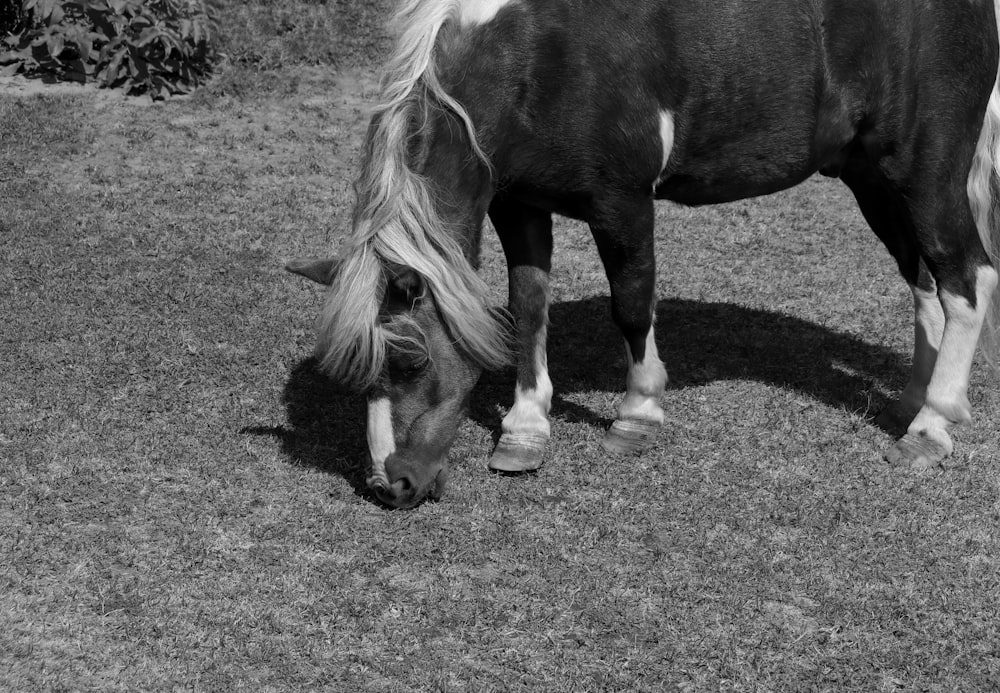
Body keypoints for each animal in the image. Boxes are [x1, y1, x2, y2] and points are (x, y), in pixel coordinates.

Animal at [286, 0, 1000, 508]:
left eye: (409, 361)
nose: (391, 487)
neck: (532, 56)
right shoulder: (518, 203)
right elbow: (528, 306)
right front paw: (525, 426)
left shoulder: (621, 202)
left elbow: (631, 307)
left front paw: (638, 413)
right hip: (872, 178)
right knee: (924, 281)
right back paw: (913, 401)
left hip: (925, 174)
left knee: (966, 278)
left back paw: (931, 428)